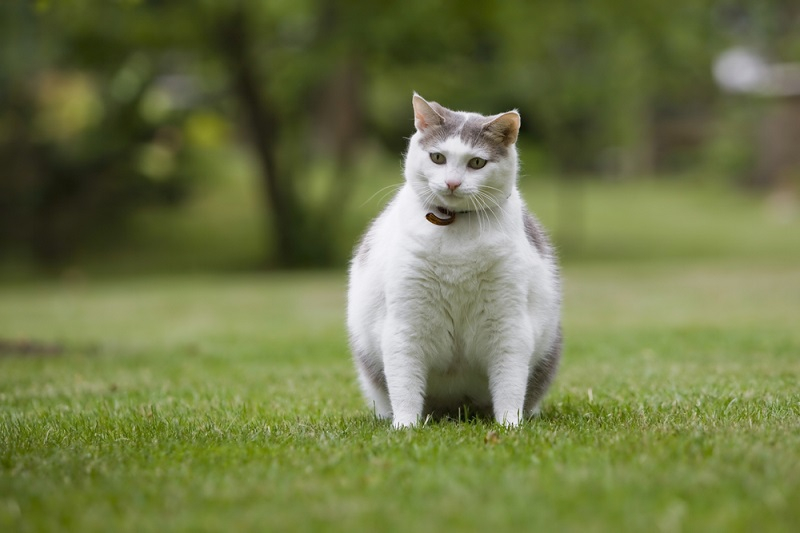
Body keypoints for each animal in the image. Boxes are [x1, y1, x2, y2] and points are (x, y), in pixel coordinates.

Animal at [346, 93, 564, 426]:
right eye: (438, 157)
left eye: (476, 162)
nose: (451, 183)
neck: (454, 228)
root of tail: (457, 409)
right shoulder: (406, 324)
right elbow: (405, 385)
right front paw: (405, 427)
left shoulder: (508, 323)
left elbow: (510, 383)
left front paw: (510, 425)